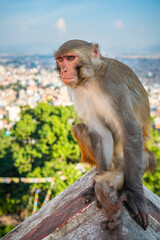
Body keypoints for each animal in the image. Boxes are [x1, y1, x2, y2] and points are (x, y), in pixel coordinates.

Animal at [54, 39, 157, 231]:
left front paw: (134, 194)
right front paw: (94, 186)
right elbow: (103, 134)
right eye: (60, 60)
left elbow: (130, 130)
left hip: (141, 158)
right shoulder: (81, 94)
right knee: (79, 128)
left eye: (71, 58)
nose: (64, 70)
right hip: (111, 161)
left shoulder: (113, 87)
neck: (91, 79)